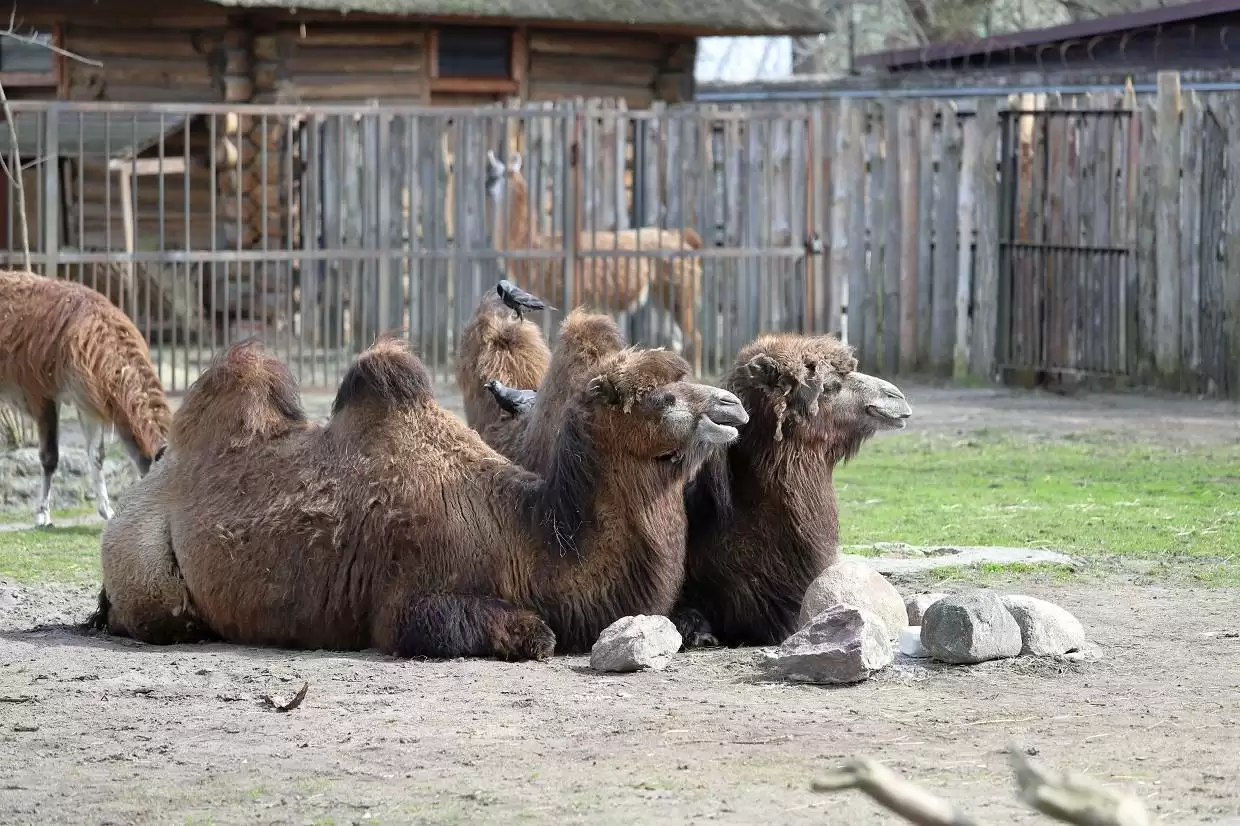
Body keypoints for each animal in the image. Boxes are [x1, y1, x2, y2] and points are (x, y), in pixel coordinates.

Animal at [94, 332, 744, 654]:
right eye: (662, 396)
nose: (733, 406)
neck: (529, 534)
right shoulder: (409, 603)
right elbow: (533, 634)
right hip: (144, 566)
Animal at [483, 149, 704, 374]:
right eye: (490, 171)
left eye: (500, 174)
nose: (486, 185)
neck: (536, 246)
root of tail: (683, 238)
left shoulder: (571, 295)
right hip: (662, 297)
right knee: (677, 339)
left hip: (679, 292)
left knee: (695, 337)